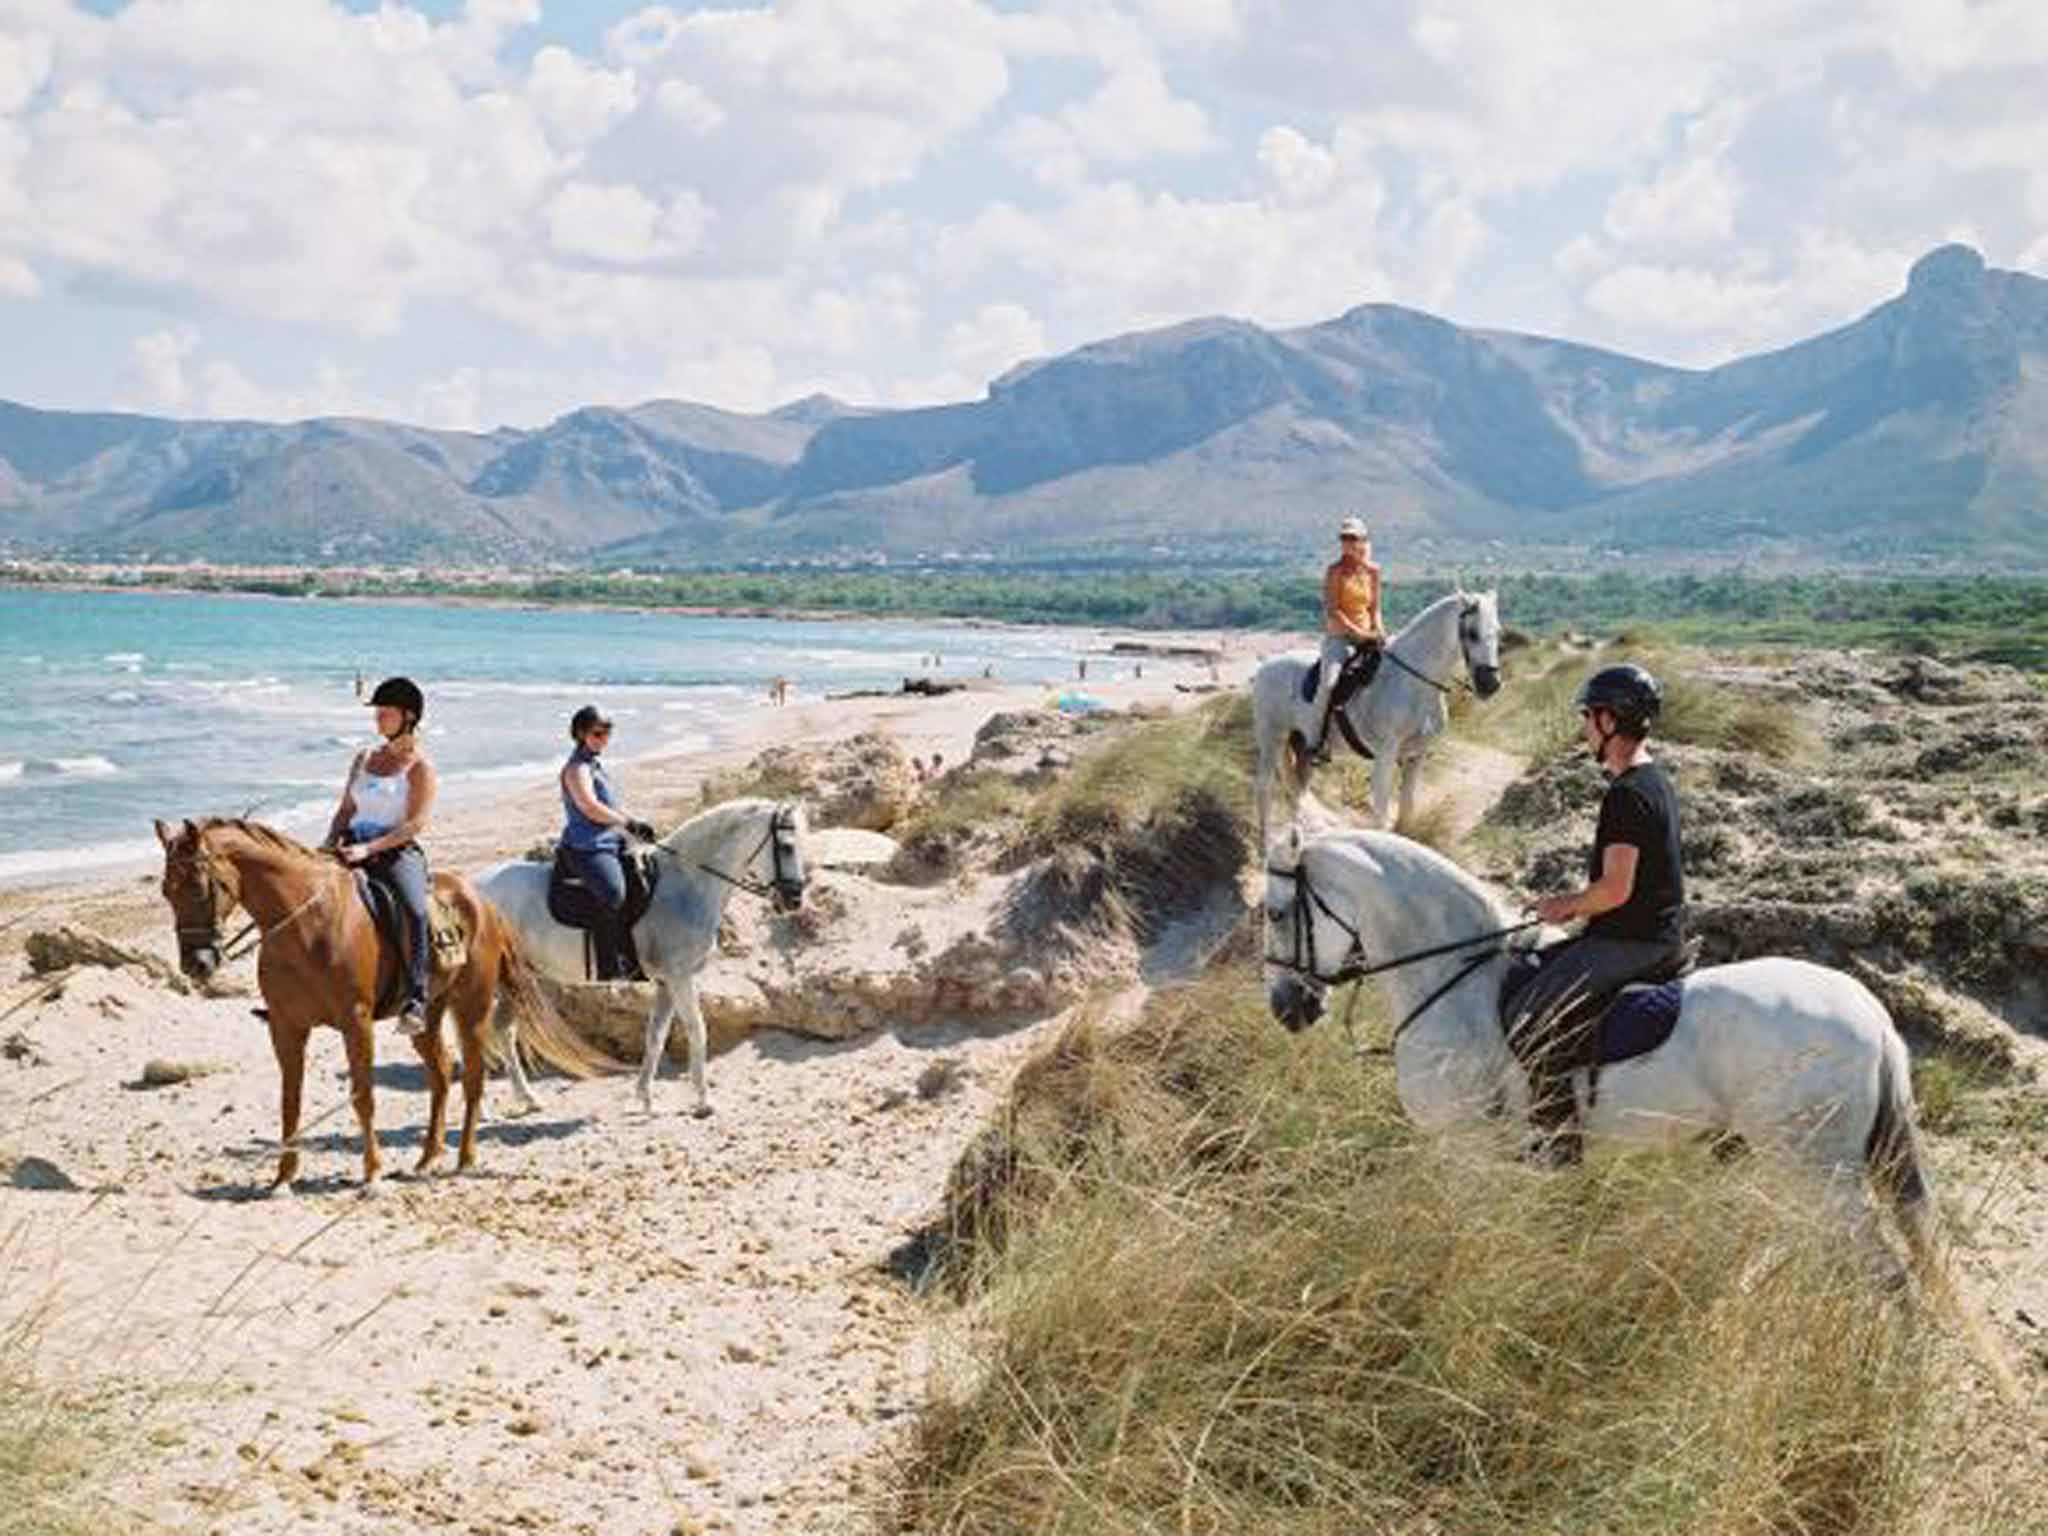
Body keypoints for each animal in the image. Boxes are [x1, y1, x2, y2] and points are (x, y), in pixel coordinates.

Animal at [155, 819, 610, 1187]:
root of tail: (482, 901)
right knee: (441, 1075)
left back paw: (464, 1158)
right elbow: (290, 1101)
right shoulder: (286, 1027)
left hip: (471, 1006)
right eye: (165, 891)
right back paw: (428, 1158)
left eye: (198, 885)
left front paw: (371, 1173)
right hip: (428, 1015)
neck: (304, 924)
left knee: (474, 1077)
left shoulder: (355, 1022)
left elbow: (363, 1095)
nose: (196, 964)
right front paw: (283, 1177)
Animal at [473, 794, 806, 1122]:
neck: (686, 883)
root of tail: (472, 888)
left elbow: (655, 1037)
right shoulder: (680, 977)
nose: (794, 900)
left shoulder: (666, 982)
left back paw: (528, 1099)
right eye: (787, 846)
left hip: (516, 979)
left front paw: (645, 1099)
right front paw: (703, 1102)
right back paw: (482, 1111)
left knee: (502, 1031)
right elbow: (697, 1030)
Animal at [1245, 589, 1507, 856]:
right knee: (1264, 788)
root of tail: (1266, 666)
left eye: (1498, 632)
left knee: (1297, 792)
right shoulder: (1386, 753)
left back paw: (1297, 843)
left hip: (1301, 747)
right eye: (1472, 633)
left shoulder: (1417, 754)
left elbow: (1406, 807)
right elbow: (1380, 811)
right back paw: (1264, 849)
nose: (1490, 685)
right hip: (1271, 738)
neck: (1413, 683)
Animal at [1253, 831, 1941, 1286]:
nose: (1285, 1007)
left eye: (1277, 913)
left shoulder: (1466, 1150)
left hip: (1816, 1170)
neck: (1456, 980)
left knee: (1885, 1273)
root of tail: (1874, 1017)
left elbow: (1462, 1226)